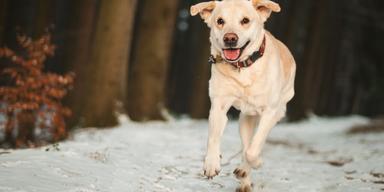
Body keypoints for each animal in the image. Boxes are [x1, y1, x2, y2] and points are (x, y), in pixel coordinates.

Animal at [190, 0, 296, 190]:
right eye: (220, 21)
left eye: (245, 20)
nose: (230, 38)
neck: (243, 67)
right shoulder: (218, 107)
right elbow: (213, 138)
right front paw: (211, 164)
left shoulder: (270, 112)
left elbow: (253, 150)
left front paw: (258, 162)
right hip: (245, 119)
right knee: (246, 144)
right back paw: (244, 178)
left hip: (278, 109)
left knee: (251, 146)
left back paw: (246, 170)